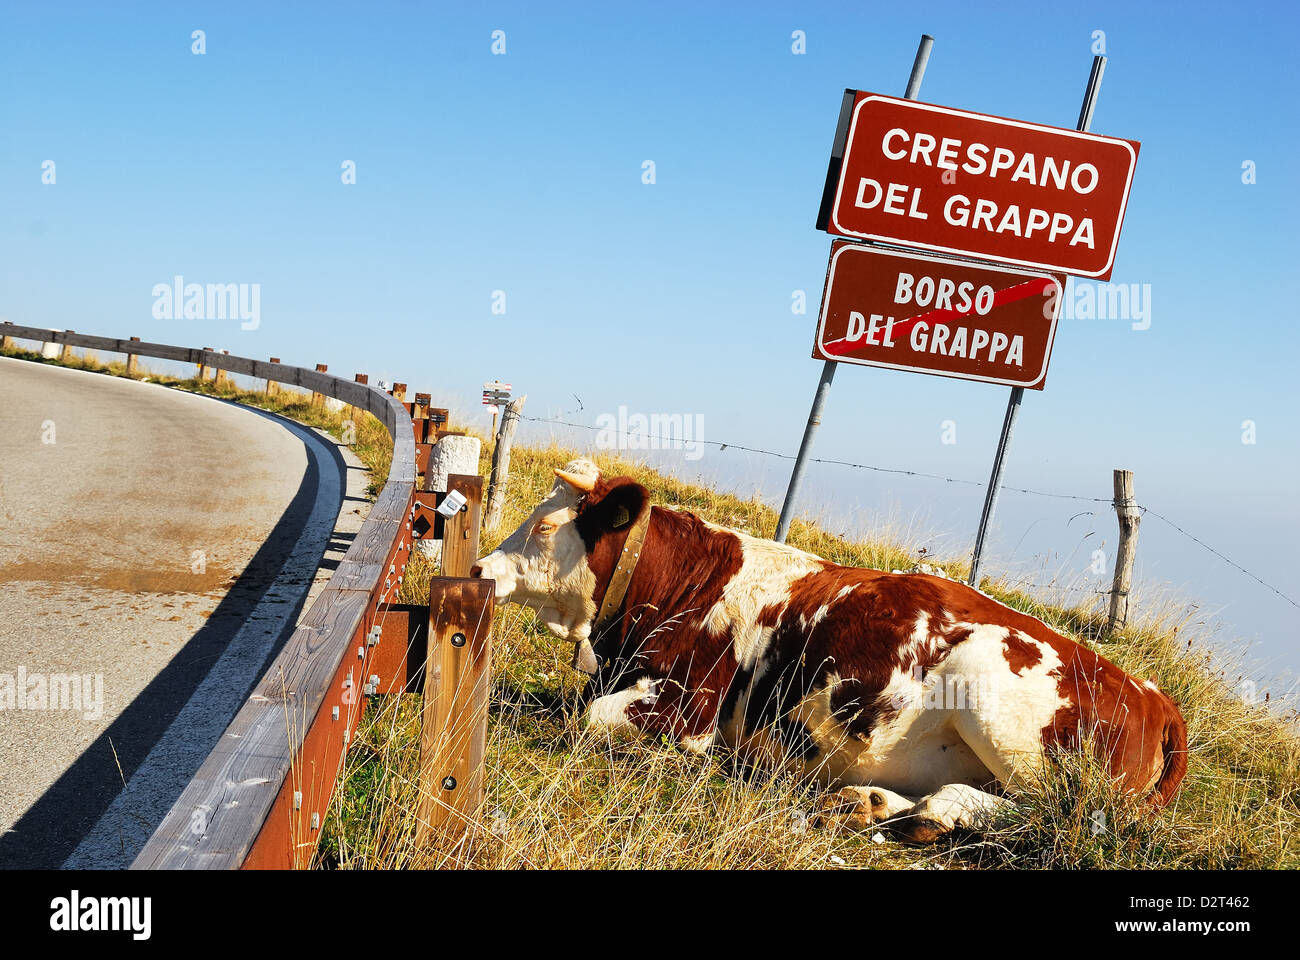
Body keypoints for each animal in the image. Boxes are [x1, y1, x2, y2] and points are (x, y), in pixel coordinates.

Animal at [478, 455, 1190, 837]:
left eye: (546, 526)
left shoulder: (691, 705)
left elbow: (592, 718)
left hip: (996, 696)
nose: (482, 568)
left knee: (1056, 814)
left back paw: (937, 812)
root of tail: (1154, 695)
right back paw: (871, 802)